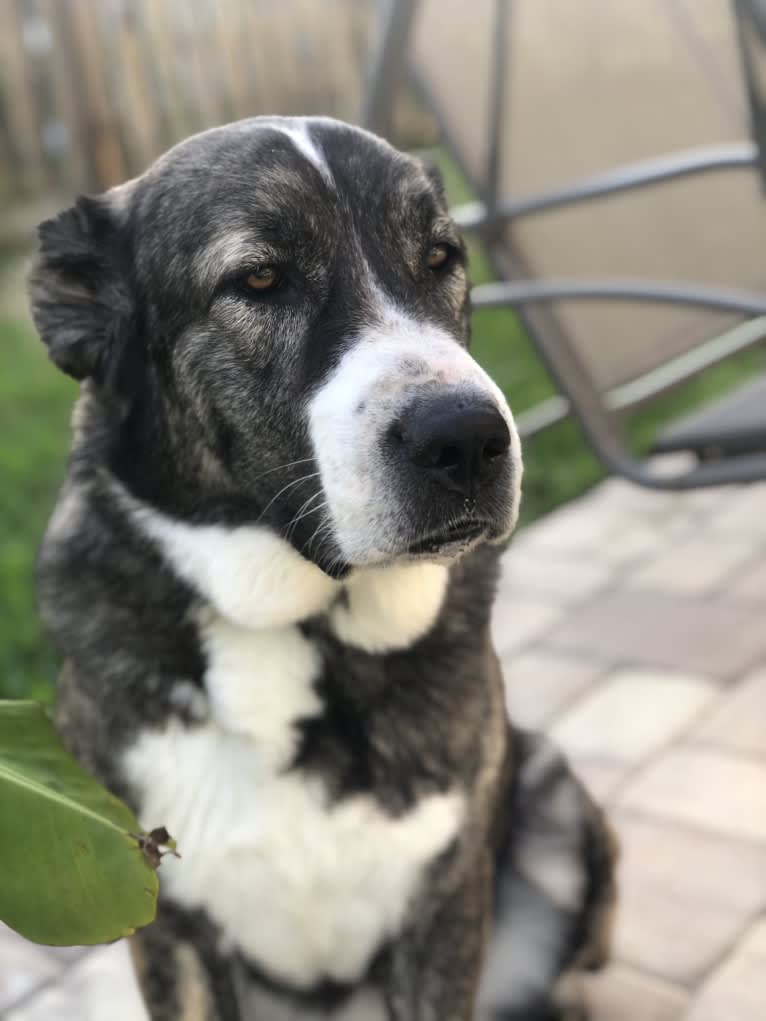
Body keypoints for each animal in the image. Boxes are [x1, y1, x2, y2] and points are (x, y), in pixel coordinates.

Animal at [30, 115, 616, 1016]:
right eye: (260, 278)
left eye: (439, 258)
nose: (467, 438)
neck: (300, 625)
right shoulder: (164, 924)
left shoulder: (442, 911)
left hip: (554, 793)